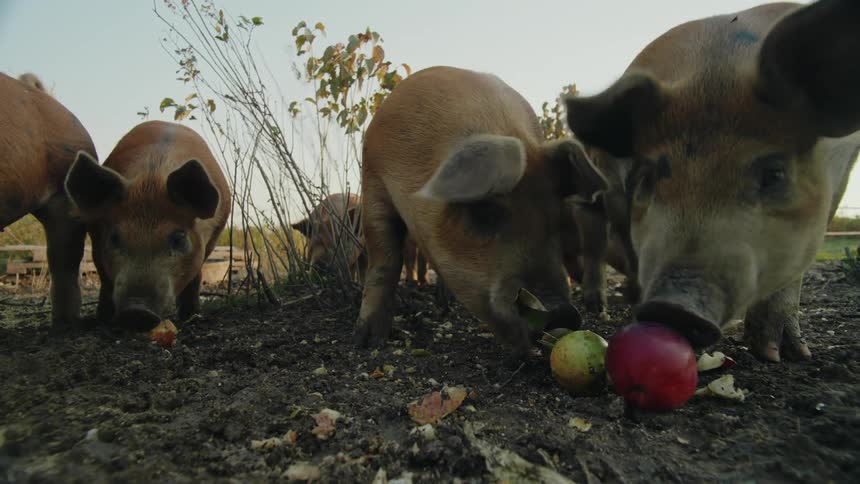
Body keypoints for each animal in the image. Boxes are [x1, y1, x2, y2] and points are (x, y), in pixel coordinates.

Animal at [64, 120, 231, 329]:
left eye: (179, 239)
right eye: (114, 238)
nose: (137, 311)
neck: (152, 179)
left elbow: (195, 277)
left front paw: (191, 316)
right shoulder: (96, 234)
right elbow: (104, 276)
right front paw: (103, 319)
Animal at [356, 66, 607, 351]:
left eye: (555, 221)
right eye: (484, 213)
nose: (563, 312)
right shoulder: (374, 179)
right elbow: (385, 260)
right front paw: (367, 342)